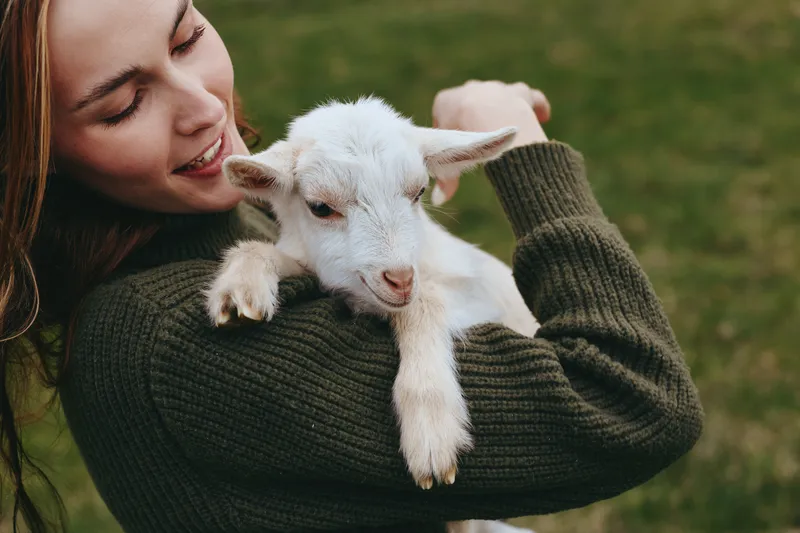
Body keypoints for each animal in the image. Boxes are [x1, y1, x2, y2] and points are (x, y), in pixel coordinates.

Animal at [205, 97, 539, 533]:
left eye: (418, 192)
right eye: (320, 207)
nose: (400, 279)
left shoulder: (476, 294)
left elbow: (424, 304)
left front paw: (431, 434)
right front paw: (239, 289)